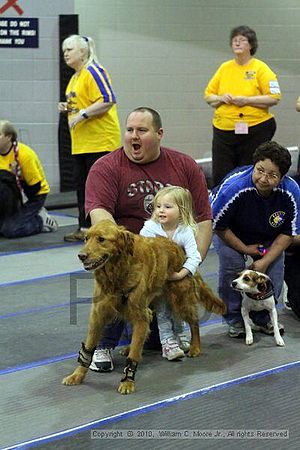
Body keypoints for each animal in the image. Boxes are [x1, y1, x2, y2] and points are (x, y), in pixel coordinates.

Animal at [62, 221, 225, 394]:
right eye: (86, 238)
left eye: (101, 239)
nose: (81, 256)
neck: (117, 273)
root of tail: (180, 250)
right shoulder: (98, 314)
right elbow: (88, 347)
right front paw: (77, 375)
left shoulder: (141, 315)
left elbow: (134, 355)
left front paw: (128, 381)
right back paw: (128, 347)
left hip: (180, 299)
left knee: (194, 322)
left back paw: (195, 347)